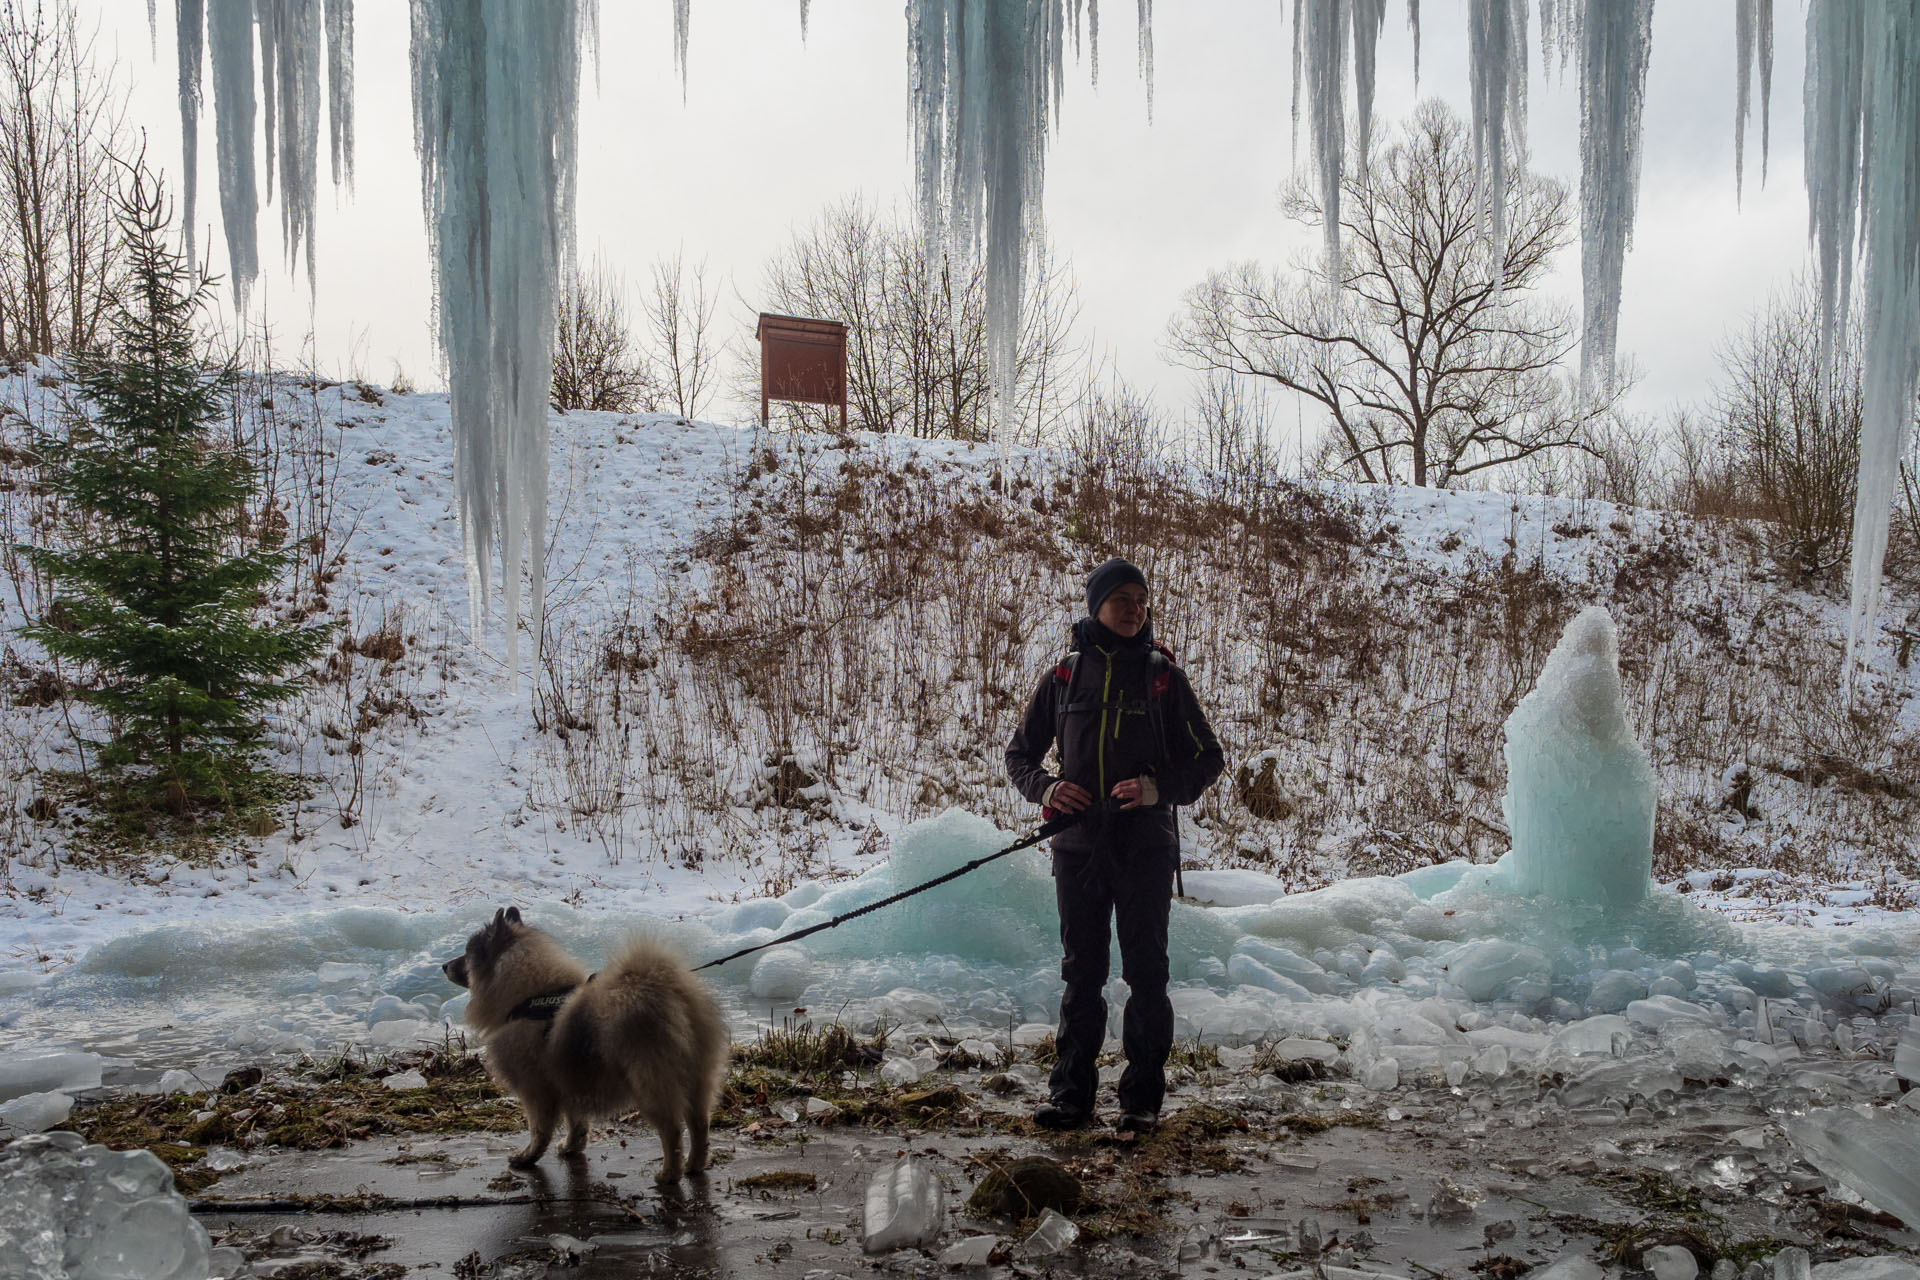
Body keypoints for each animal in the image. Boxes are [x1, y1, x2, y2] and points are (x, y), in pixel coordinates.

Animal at [445, 909, 729, 1182]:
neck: (528, 998)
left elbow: (539, 1130)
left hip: (650, 1082)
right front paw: (571, 1147)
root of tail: (666, 989)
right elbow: (577, 1123)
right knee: (699, 1124)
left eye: (467, 954)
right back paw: (694, 1164)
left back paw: (670, 1173)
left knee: (672, 1130)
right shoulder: (569, 1081)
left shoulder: (536, 1090)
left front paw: (528, 1156)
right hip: (698, 1076)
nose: (444, 965)